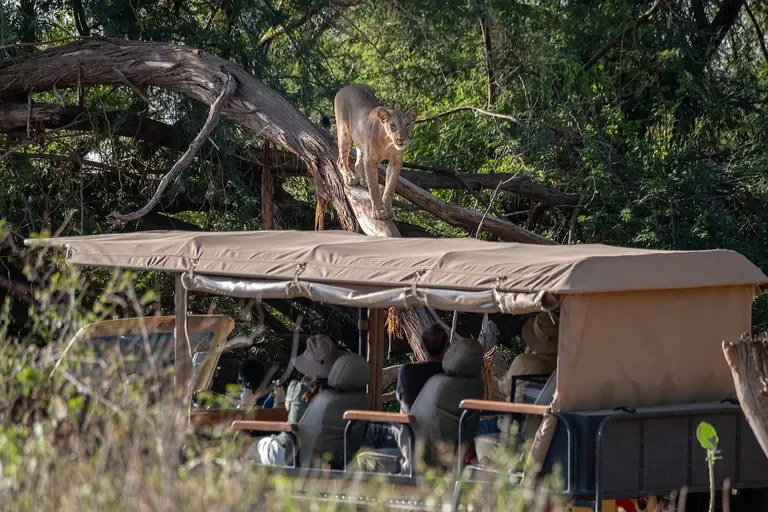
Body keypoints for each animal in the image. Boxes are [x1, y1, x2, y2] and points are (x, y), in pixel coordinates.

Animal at [334, 84, 418, 220]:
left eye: (407, 125)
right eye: (393, 125)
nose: (401, 139)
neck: (388, 143)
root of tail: (348, 86)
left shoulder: (396, 162)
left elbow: (390, 188)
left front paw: (388, 208)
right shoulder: (370, 161)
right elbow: (374, 188)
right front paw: (379, 211)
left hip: (360, 140)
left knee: (358, 162)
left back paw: (363, 180)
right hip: (344, 131)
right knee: (341, 160)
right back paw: (350, 177)